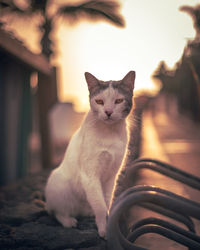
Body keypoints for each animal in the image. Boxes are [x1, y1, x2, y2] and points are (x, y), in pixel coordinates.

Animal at [45, 69, 135, 237]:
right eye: (99, 101)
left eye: (119, 101)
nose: (108, 112)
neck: (109, 133)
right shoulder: (89, 175)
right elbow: (100, 206)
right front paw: (104, 230)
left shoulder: (111, 176)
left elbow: (106, 202)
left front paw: (107, 222)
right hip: (59, 184)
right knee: (57, 211)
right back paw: (68, 221)